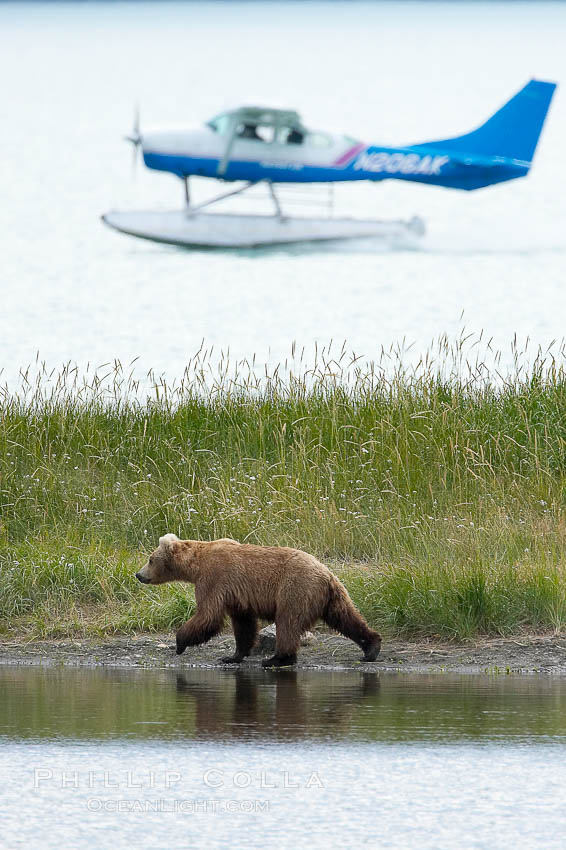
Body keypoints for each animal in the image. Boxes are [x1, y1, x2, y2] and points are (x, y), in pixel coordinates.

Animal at [136, 532, 384, 664]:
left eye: (150, 559)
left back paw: (276, 659)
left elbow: (208, 615)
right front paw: (233, 656)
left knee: (287, 622)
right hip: (331, 596)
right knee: (346, 618)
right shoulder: (236, 595)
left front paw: (179, 642)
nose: (138, 575)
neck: (195, 565)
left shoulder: (214, 579)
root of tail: (326, 573)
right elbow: (243, 623)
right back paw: (371, 648)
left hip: (295, 589)